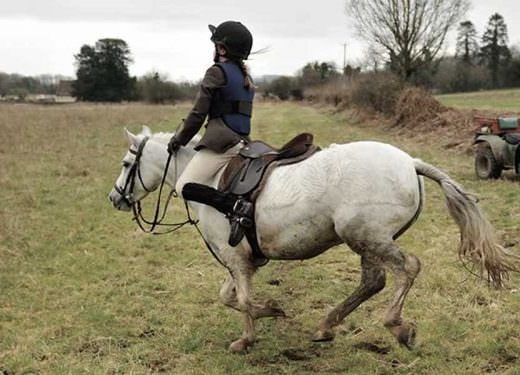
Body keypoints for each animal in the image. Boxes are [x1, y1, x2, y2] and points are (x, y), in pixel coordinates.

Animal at [107, 128, 516, 354]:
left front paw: (251, 334)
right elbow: (230, 297)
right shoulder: (240, 259)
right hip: (367, 242)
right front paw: (266, 315)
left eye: (127, 165)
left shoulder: (233, 257)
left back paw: (397, 326)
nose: (115, 198)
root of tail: (410, 162)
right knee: (373, 281)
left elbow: (241, 300)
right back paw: (326, 326)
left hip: (367, 237)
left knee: (406, 269)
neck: (208, 180)